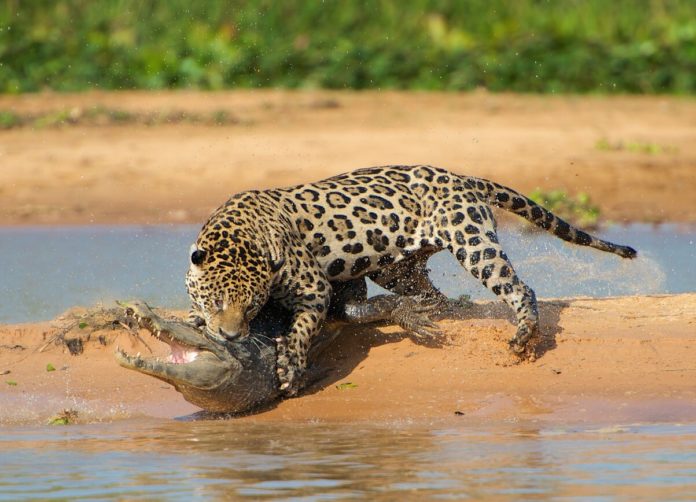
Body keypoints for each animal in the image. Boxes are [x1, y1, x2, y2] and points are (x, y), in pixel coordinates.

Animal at [186, 165, 637, 395]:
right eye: (217, 302)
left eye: (251, 306)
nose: (230, 335)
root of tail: (465, 177)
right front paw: (194, 319)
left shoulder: (313, 287)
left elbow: (301, 328)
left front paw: (290, 367)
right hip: (393, 266)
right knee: (432, 296)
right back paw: (429, 314)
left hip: (472, 241)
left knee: (518, 287)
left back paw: (525, 333)